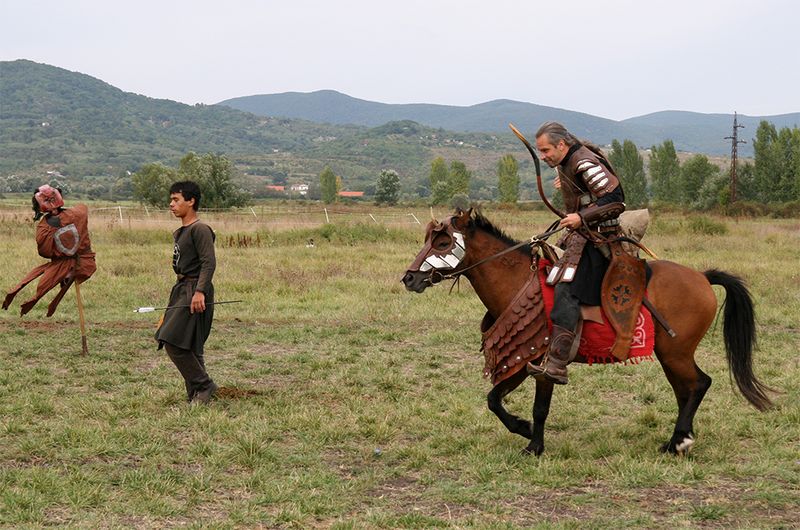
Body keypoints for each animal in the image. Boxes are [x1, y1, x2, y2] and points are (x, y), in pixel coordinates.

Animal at [402, 208, 772, 456]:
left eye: (443, 241)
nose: (409, 278)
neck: (519, 283)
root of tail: (702, 277)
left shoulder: (543, 363)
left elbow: (539, 407)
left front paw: (534, 445)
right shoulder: (521, 359)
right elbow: (494, 400)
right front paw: (522, 429)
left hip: (675, 352)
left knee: (698, 384)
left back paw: (679, 440)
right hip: (671, 354)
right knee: (687, 389)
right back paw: (677, 440)